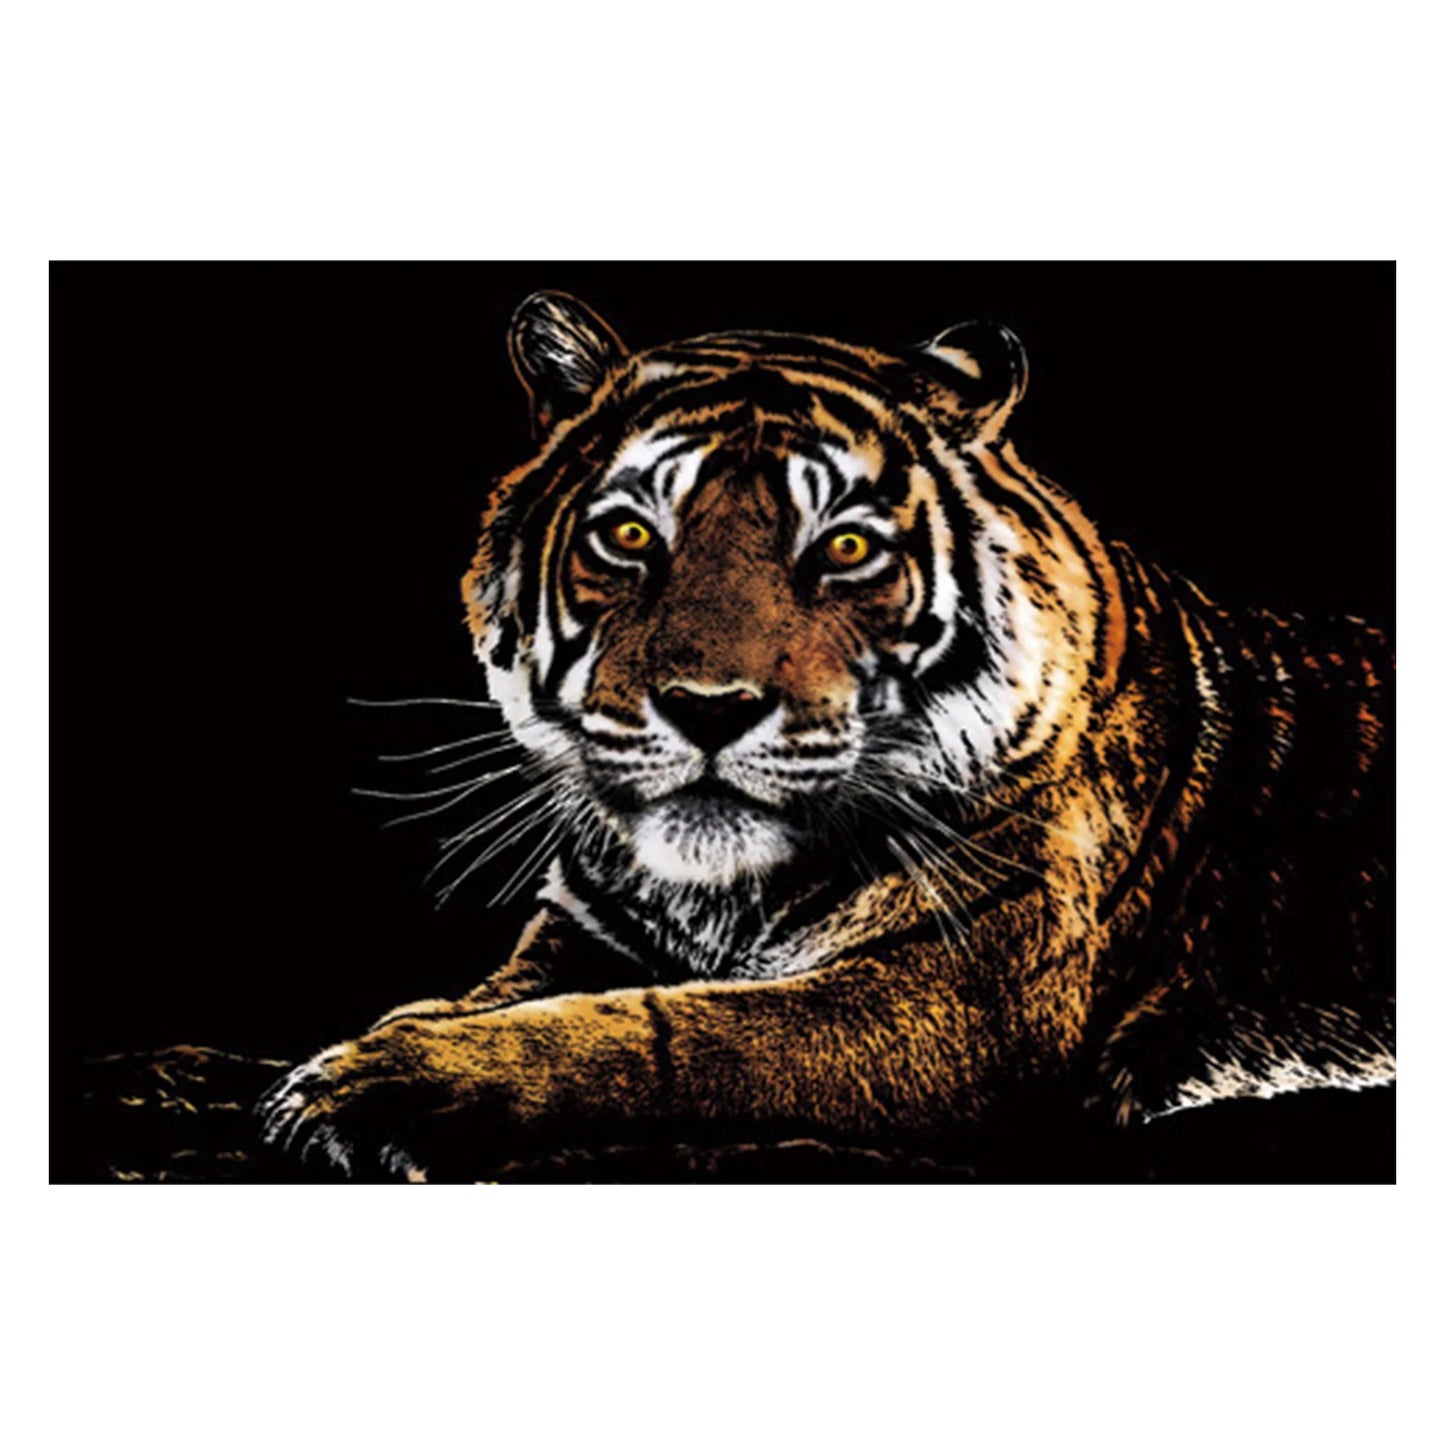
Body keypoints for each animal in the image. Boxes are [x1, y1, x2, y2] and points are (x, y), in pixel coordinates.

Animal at [258, 290, 1395, 1181]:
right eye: (627, 535)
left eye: (844, 547)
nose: (708, 704)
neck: (714, 896)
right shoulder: (585, 926)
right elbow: (501, 993)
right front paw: (394, 1032)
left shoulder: (949, 999)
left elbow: (671, 1031)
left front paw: (372, 1086)